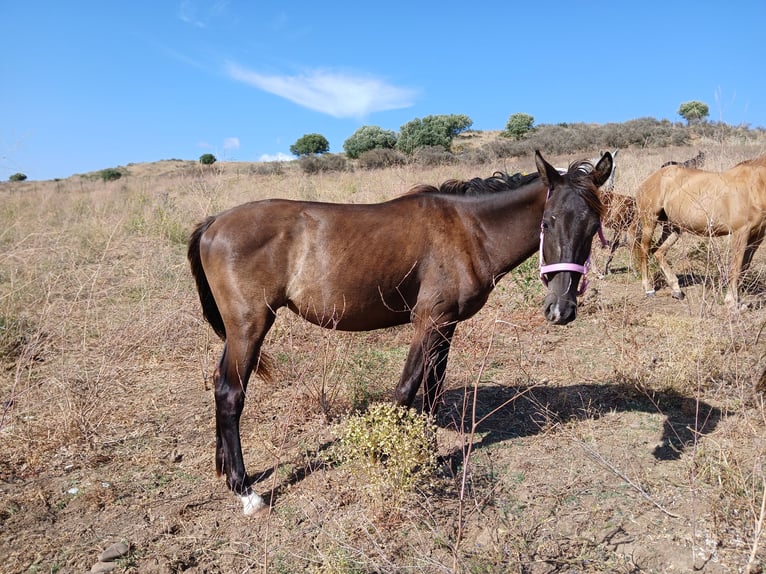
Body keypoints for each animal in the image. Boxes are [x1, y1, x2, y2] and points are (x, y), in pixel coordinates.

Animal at [189, 150, 616, 516]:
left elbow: (433, 391)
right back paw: (245, 489)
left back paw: (226, 470)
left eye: (594, 227)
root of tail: (214, 222)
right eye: (547, 222)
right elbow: (407, 389)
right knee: (231, 394)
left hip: (238, 331)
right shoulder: (429, 322)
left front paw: (426, 454)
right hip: (250, 326)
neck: (469, 231)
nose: (561, 309)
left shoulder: (446, 325)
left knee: (219, 383)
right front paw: (386, 456)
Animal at [636, 153, 766, 306]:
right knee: (644, 250)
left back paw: (676, 290)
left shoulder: (757, 236)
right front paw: (731, 301)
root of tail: (648, 180)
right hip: (649, 221)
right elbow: (736, 267)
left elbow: (744, 267)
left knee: (658, 251)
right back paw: (648, 288)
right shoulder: (740, 232)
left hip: (674, 228)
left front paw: (739, 301)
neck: (755, 184)